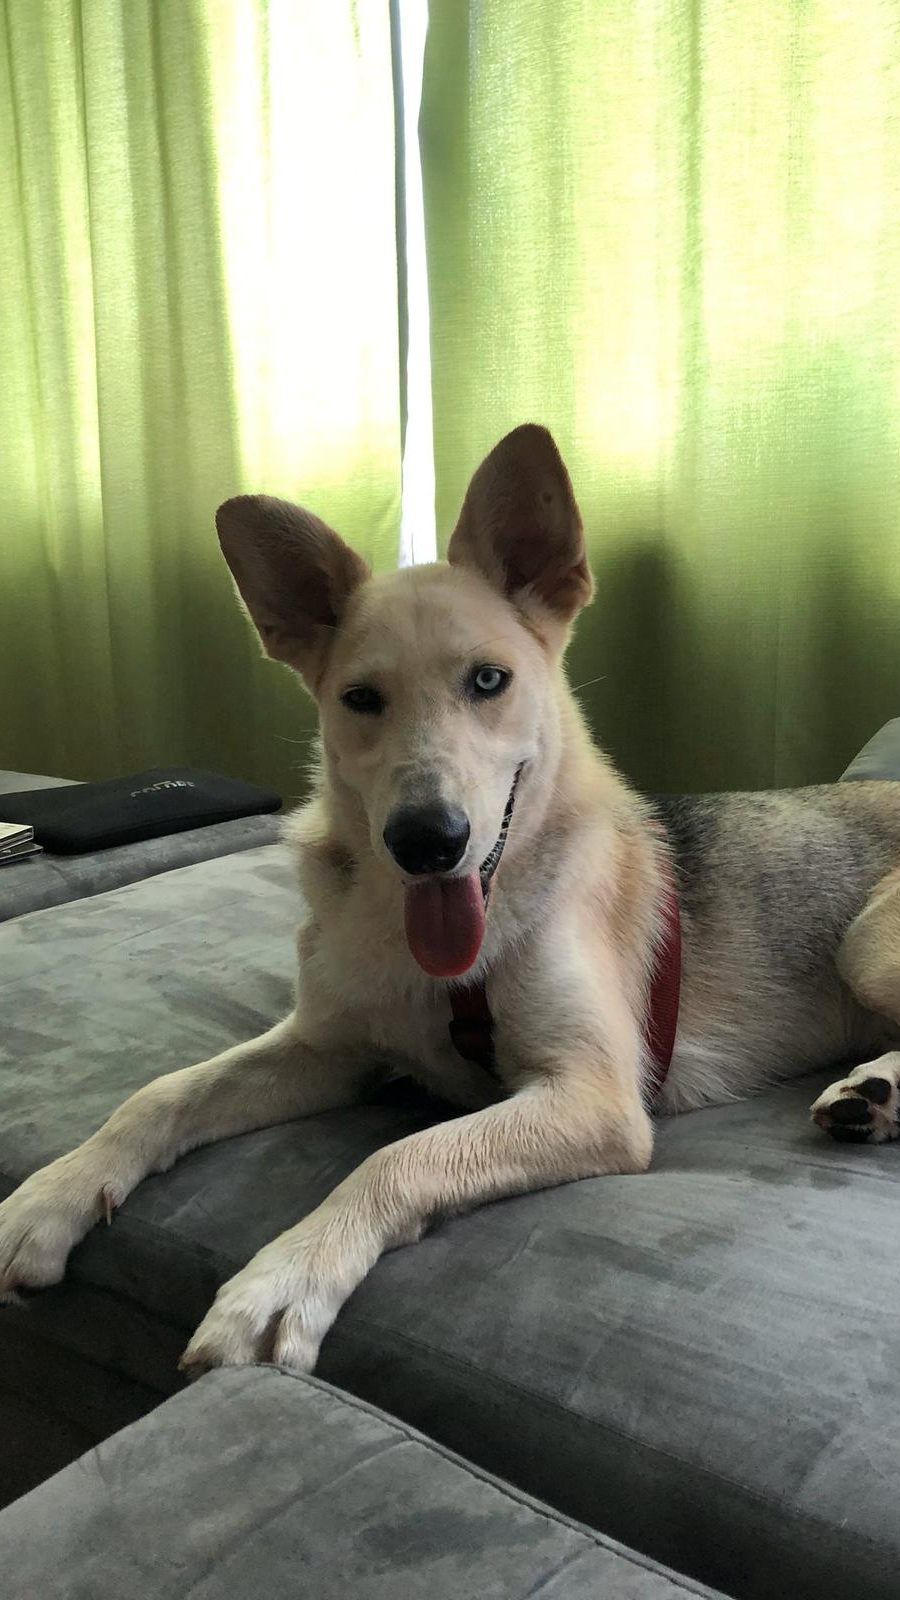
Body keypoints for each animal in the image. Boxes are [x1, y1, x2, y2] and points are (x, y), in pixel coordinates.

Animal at [2, 423, 899, 1376]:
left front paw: (287, 1277)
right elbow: (161, 1094)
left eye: (488, 681)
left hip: (865, 945)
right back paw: (874, 1096)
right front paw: (52, 1195)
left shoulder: (593, 1098)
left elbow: (398, 1155)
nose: (427, 841)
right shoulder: (328, 1046)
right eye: (361, 699)